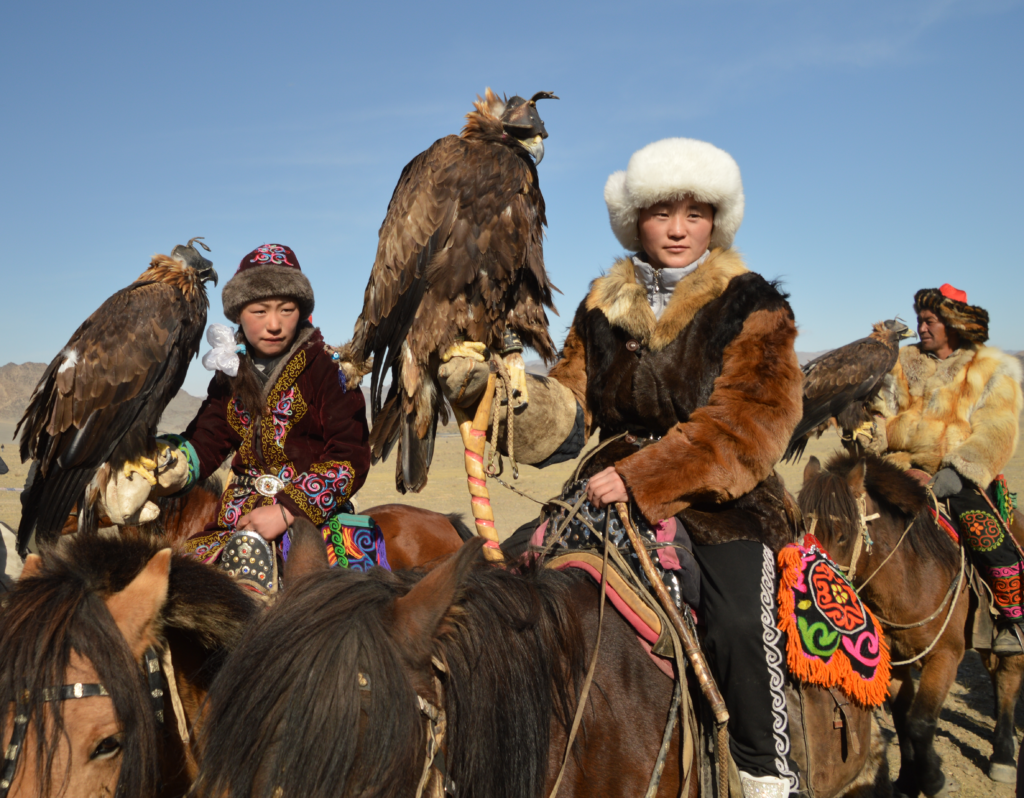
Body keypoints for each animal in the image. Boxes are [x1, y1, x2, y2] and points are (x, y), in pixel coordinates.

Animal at [798, 454, 1024, 798]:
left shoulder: (945, 656)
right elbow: (903, 721)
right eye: (801, 528)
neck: (912, 579)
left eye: (841, 534)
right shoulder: (894, 663)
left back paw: (1003, 756)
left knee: (1010, 676)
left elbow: (921, 722)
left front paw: (934, 780)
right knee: (997, 674)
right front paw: (907, 780)